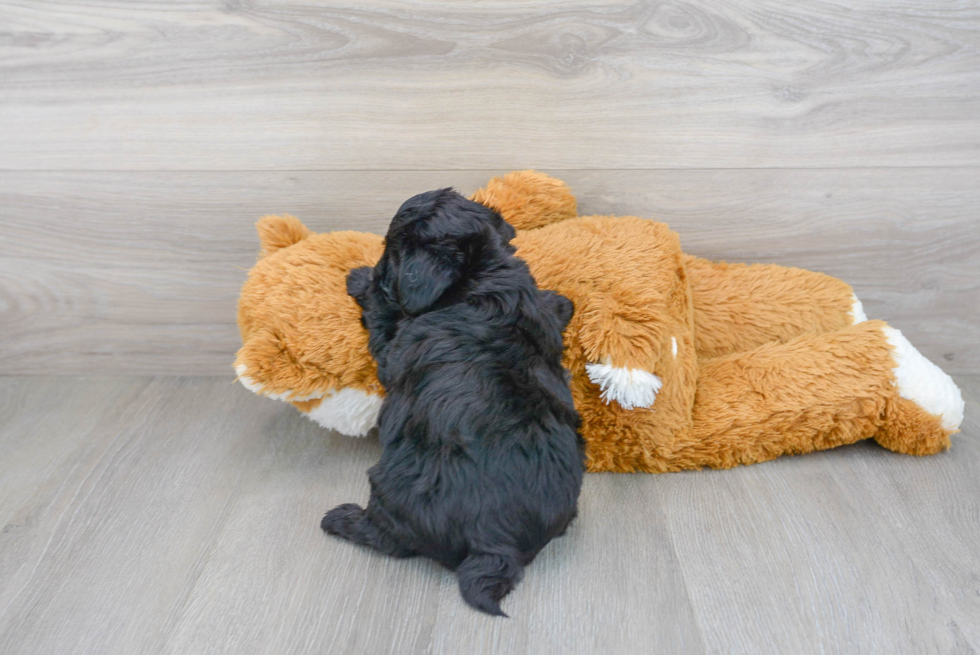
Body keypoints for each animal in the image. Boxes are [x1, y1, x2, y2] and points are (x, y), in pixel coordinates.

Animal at [324, 188, 580, 616]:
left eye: (391, 253)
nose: (375, 270)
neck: (481, 279)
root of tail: (494, 544)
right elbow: (555, 305)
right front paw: (561, 301)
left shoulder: (394, 349)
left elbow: (382, 316)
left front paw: (361, 279)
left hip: (390, 490)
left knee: (388, 539)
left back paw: (340, 519)